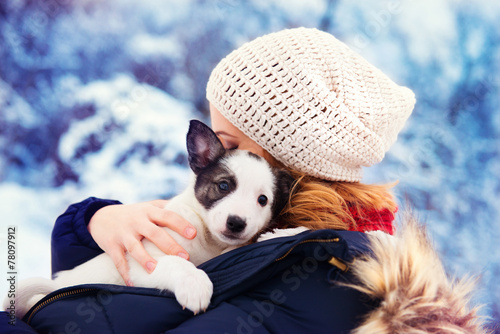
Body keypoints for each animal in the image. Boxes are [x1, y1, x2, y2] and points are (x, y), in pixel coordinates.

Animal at [6, 120, 292, 318]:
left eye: (263, 200)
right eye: (223, 186)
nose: (236, 223)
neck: (209, 244)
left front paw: (282, 233)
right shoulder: (142, 263)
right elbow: (177, 263)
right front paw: (195, 283)